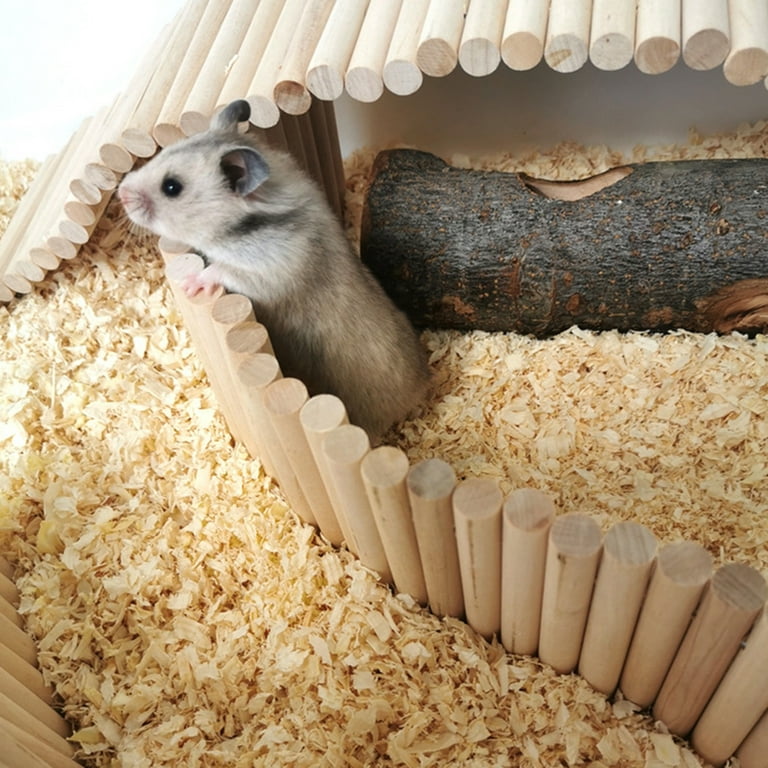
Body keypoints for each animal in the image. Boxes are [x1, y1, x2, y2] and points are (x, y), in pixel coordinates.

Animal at [118, 99, 430, 438]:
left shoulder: (270, 270)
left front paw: (191, 284)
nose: (121, 193)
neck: (248, 224)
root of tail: (423, 388)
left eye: (172, 187)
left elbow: (223, 270)